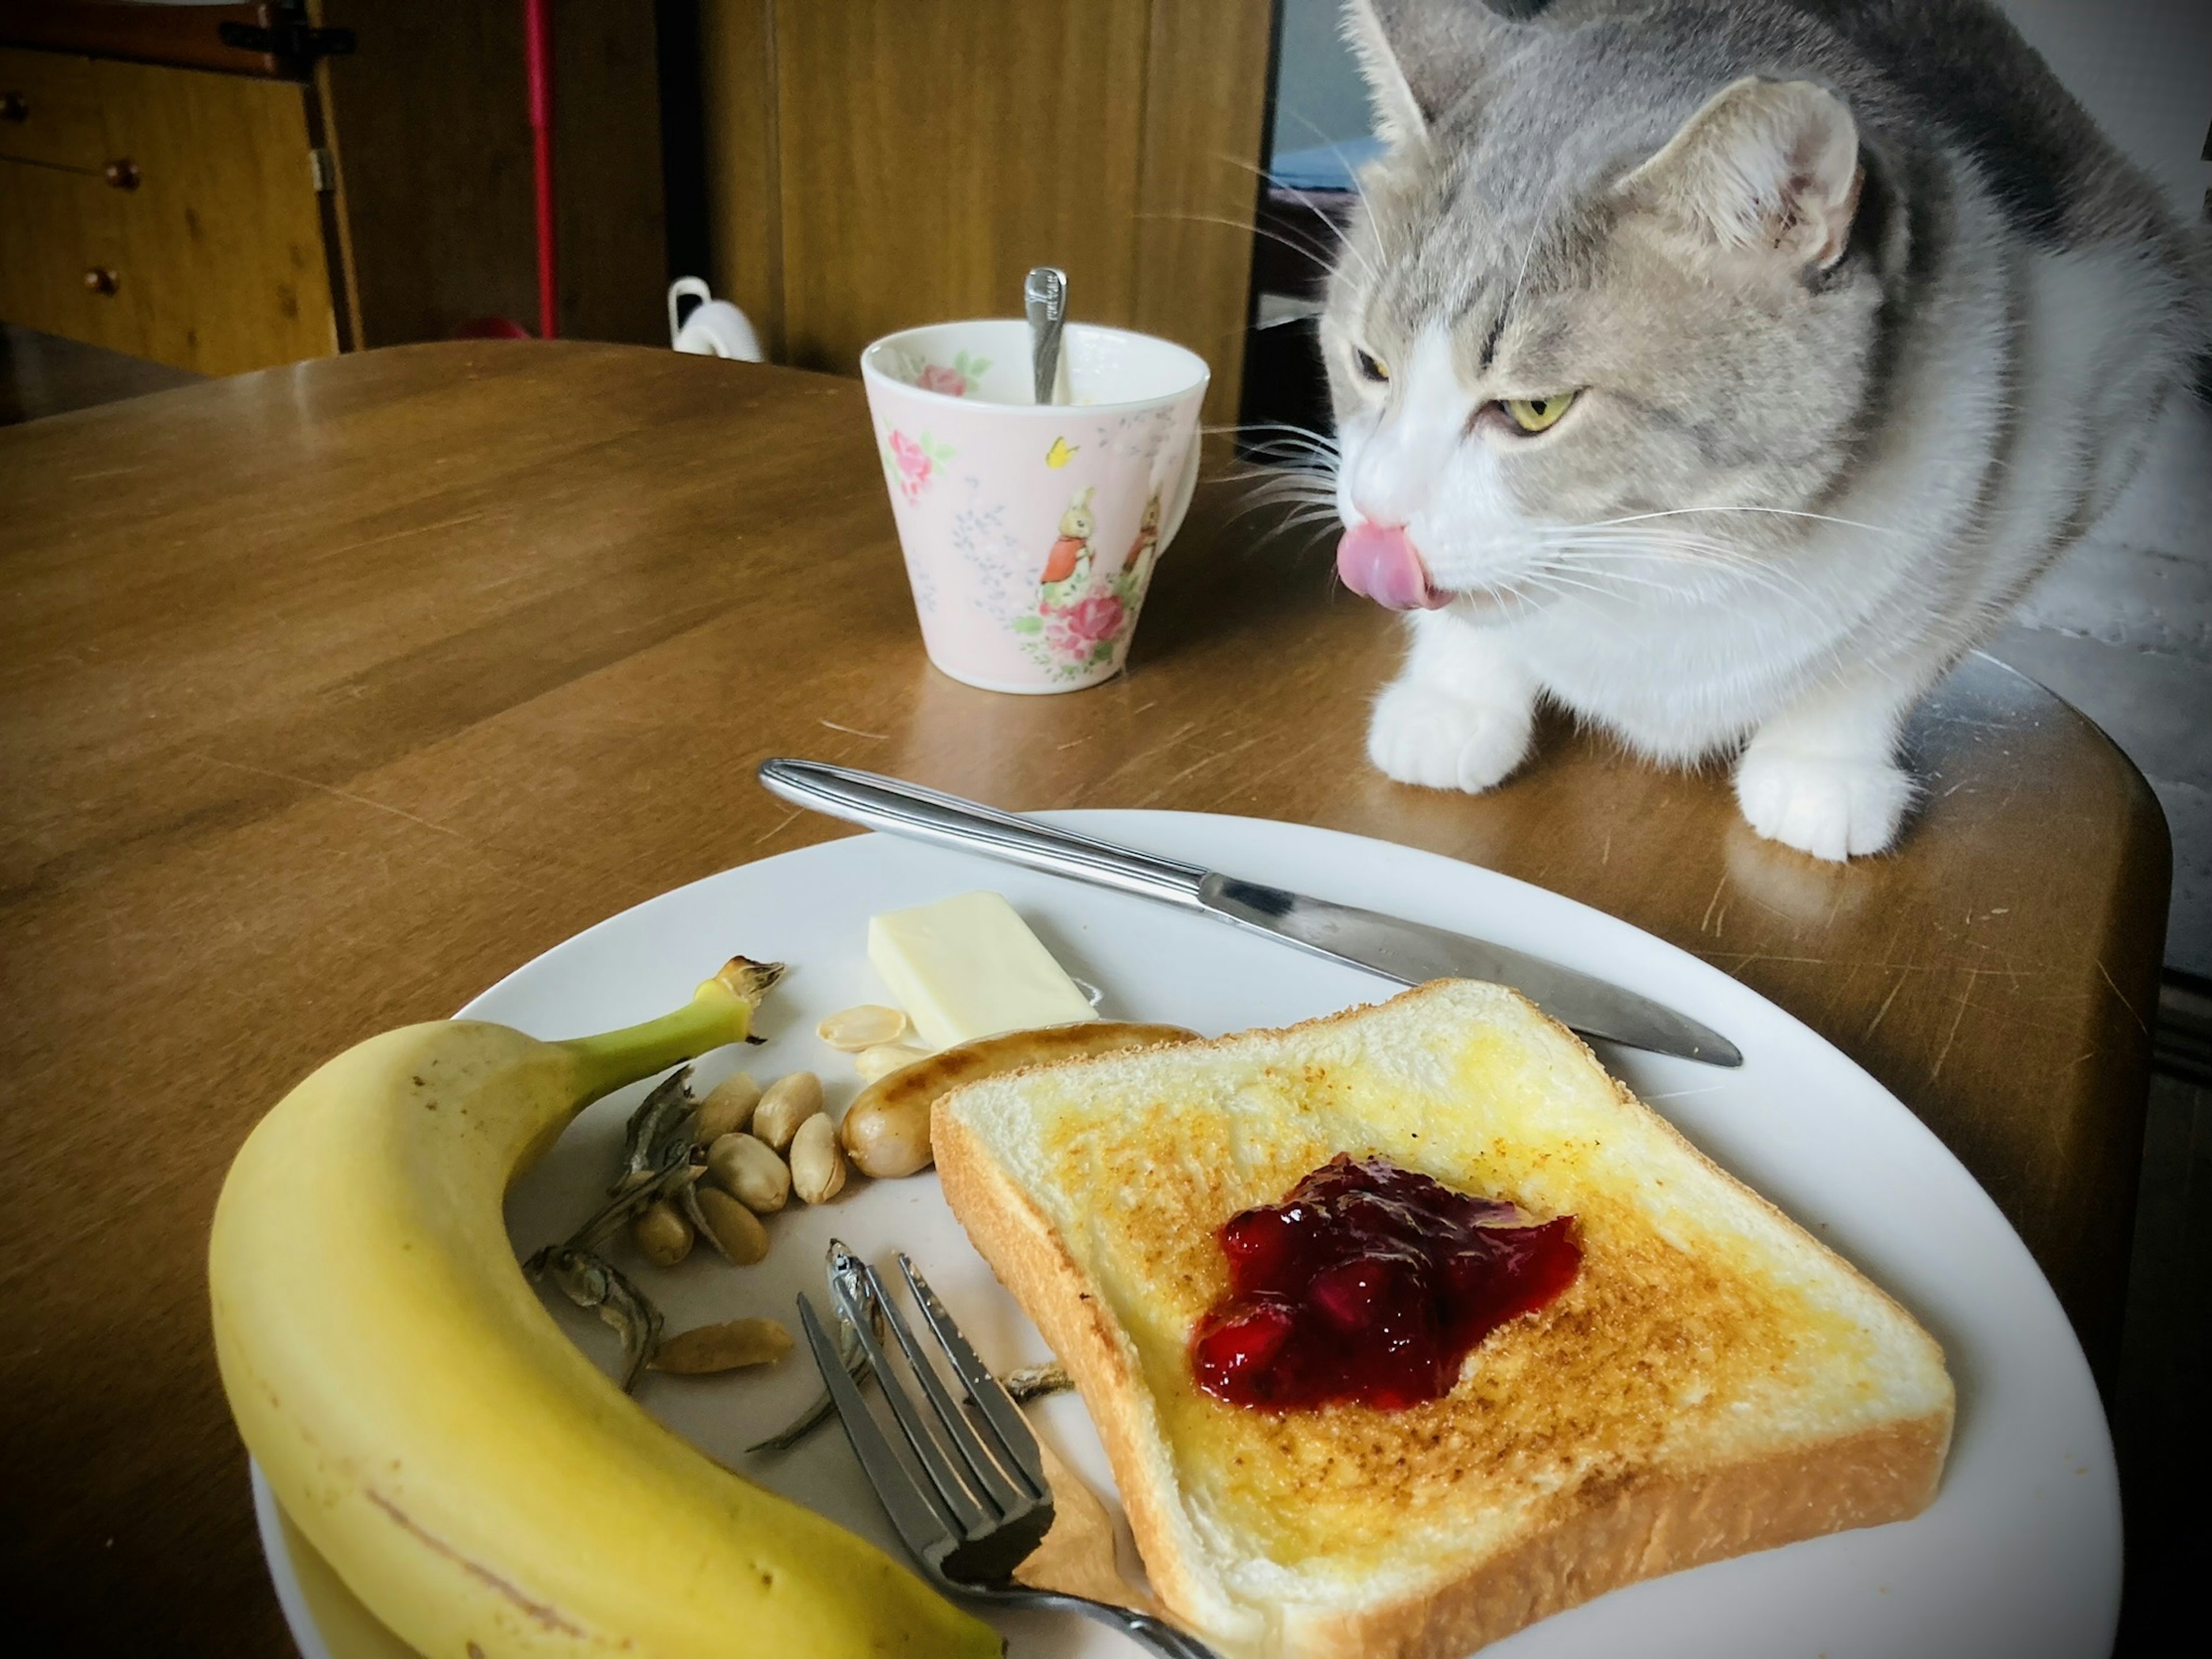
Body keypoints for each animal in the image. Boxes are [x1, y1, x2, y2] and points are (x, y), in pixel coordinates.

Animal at [1318, 0, 2203, 858]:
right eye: (1371, 364)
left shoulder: (2082, 418)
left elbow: (1901, 650)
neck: (1674, 566)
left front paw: (1822, 769)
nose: (1378, 515)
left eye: (1536, 410)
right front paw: (1453, 698)